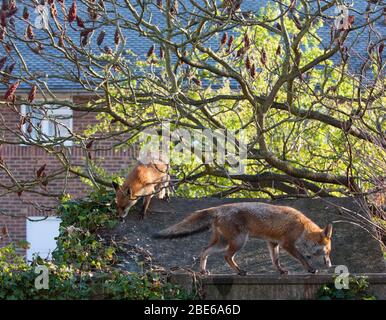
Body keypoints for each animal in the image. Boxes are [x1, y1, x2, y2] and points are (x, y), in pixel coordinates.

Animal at [153, 202, 332, 276]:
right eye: (328, 252)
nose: (330, 265)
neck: (302, 227)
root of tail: (218, 208)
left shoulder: (272, 242)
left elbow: (275, 260)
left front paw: (281, 271)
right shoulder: (287, 243)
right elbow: (302, 257)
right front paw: (310, 269)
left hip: (222, 242)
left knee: (204, 251)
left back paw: (203, 271)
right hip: (238, 241)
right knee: (226, 256)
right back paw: (240, 271)